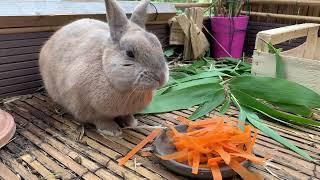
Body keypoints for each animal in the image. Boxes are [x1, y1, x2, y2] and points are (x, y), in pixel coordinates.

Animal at [38, 0, 169, 136]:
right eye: (130, 53)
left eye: (158, 44)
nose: (161, 77)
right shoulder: (90, 110)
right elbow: (101, 120)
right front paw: (112, 131)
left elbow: (127, 115)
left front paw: (132, 123)